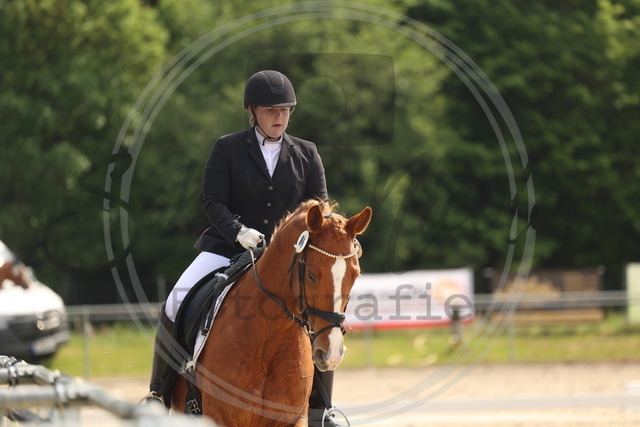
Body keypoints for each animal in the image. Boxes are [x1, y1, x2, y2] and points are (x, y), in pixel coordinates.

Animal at [171, 200, 372, 426]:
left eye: (355, 275)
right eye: (311, 276)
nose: (331, 353)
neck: (271, 336)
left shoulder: (293, 419)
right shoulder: (220, 417)